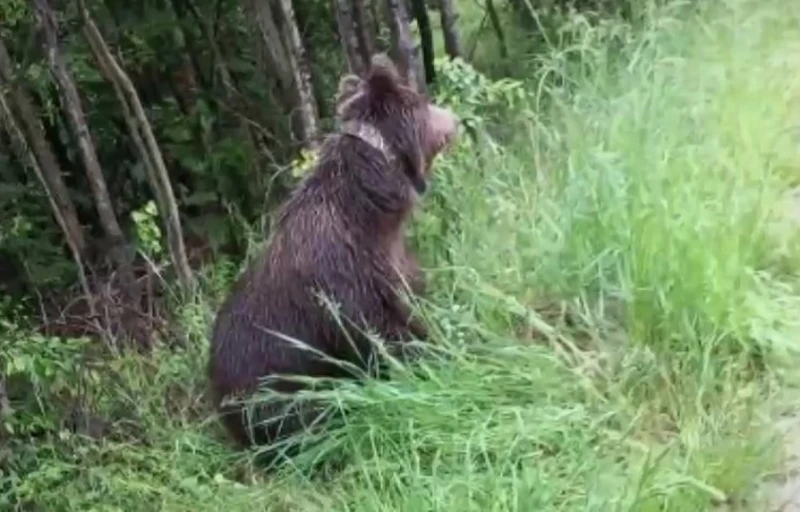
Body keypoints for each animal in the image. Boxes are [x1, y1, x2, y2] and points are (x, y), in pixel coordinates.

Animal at [206, 54, 460, 458]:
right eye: (422, 100)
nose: (455, 119)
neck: (371, 214)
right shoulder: (348, 287)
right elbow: (387, 338)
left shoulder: (392, 265)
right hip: (272, 390)